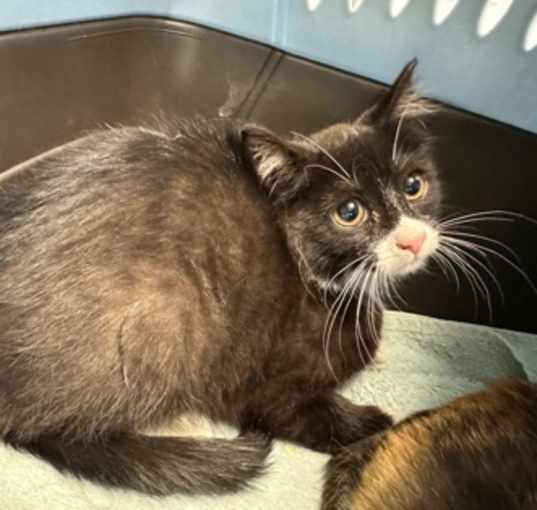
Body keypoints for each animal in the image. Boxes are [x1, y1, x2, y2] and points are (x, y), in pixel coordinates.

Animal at [0, 59, 440, 494]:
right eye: (349, 212)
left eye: (414, 185)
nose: (413, 239)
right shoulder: (261, 389)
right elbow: (297, 413)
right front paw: (374, 423)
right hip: (169, 315)